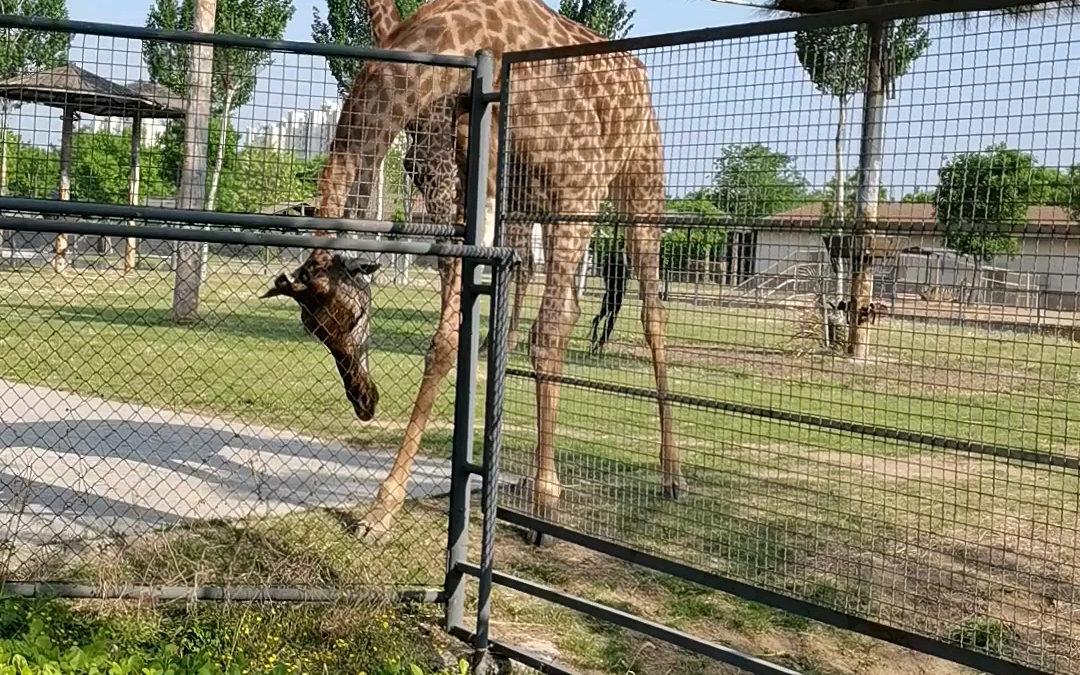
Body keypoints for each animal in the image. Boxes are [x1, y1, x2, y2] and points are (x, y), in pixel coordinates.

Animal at [300, 0, 682, 540]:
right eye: (313, 328)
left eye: (353, 319)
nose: (363, 400)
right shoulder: (480, 186)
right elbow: (451, 338)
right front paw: (382, 511)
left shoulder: (577, 185)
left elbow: (549, 331)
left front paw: (546, 500)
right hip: (526, 209)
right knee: (530, 306)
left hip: (640, 181)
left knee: (649, 314)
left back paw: (671, 475)